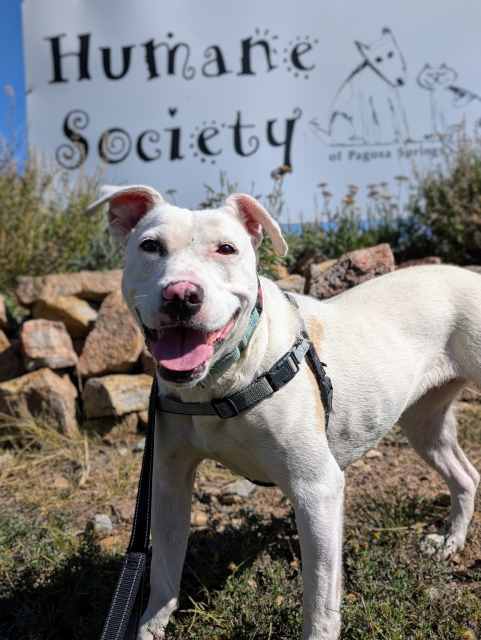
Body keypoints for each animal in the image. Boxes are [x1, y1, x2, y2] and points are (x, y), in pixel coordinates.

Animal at [88, 182, 478, 636]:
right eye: (150, 246)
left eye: (227, 249)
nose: (181, 295)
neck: (223, 380)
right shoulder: (168, 482)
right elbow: (164, 569)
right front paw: (151, 627)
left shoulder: (318, 490)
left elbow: (320, 596)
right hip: (424, 424)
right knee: (465, 476)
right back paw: (450, 542)